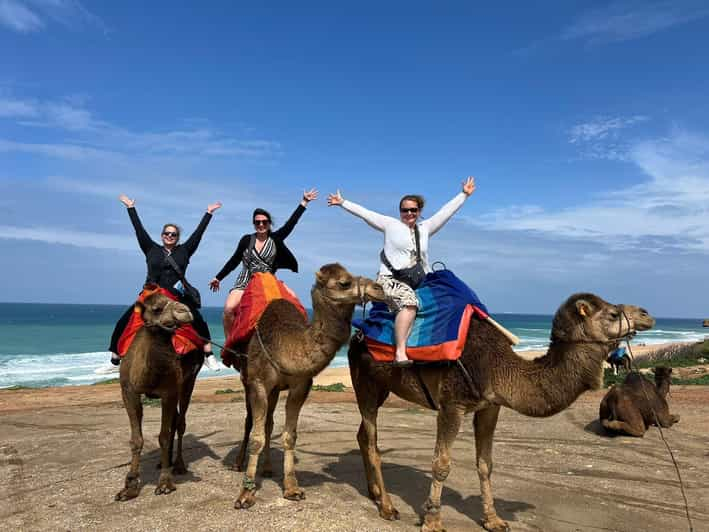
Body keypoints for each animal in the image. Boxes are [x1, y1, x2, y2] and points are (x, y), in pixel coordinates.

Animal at [113, 290, 202, 502]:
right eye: (157, 309)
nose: (185, 311)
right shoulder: (128, 391)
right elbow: (136, 439)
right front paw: (129, 486)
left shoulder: (169, 392)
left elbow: (164, 435)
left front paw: (164, 483)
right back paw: (164, 462)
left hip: (188, 382)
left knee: (180, 423)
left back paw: (178, 465)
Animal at [234, 264, 384, 510]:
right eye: (344, 282)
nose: (378, 288)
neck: (286, 344)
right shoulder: (258, 383)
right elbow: (257, 437)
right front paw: (245, 495)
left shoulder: (301, 385)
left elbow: (289, 436)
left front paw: (292, 488)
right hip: (247, 379)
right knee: (250, 422)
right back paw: (238, 463)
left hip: (275, 390)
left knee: (268, 423)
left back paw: (267, 468)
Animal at [348, 294, 652, 528]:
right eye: (613, 313)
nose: (647, 314)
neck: (497, 366)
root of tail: (357, 334)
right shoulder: (451, 405)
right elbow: (441, 464)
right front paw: (433, 522)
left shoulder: (490, 407)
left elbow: (486, 465)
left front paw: (493, 520)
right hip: (364, 381)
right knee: (373, 440)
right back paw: (387, 507)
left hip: (382, 388)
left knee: (363, 434)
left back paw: (374, 493)